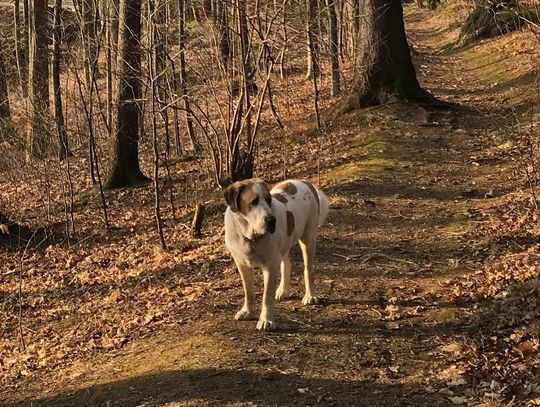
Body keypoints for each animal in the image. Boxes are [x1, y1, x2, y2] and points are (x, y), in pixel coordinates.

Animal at [224, 179, 330, 332]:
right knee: (287, 263)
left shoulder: (270, 266)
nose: (271, 220)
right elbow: (248, 291)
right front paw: (247, 311)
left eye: (269, 200)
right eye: (253, 202)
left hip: (308, 239)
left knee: (308, 269)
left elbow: (267, 296)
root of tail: (304, 182)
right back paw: (283, 290)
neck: (251, 237)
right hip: (283, 245)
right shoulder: (242, 265)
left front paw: (266, 320)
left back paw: (310, 296)